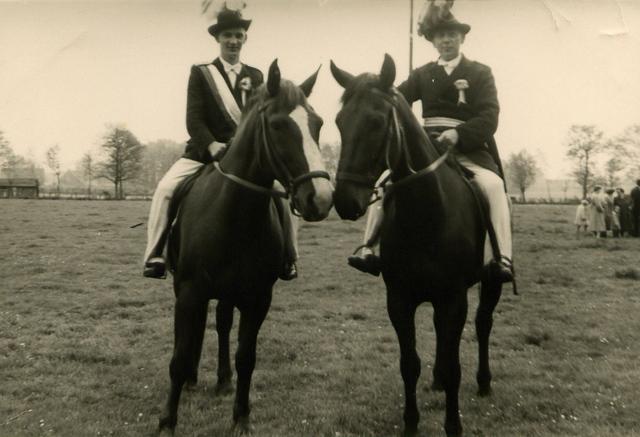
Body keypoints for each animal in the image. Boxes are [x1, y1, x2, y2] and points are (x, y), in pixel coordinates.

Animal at [158, 59, 332, 434]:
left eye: (317, 124)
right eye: (278, 125)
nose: (322, 199)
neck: (235, 213)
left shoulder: (258, 297)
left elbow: (246, 357)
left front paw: (241, 417)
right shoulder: (190, 291)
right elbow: (178, 356)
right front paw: (167, 422)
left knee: (223, 324)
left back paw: (223, 380)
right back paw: (194, 378)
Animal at [330, 55, 504, 436]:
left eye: (377, 121)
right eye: (339, 122)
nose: (345, 200)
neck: (425, 213)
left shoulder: (453, 299)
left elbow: (455, 365)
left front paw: (453, 425)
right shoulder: (400, 299)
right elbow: (409, 363)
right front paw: (411, 423)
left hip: (491, 282)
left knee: (484, 323)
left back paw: (484, 382)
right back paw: (437, 380)